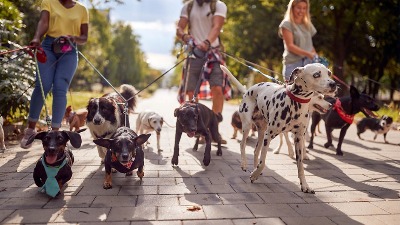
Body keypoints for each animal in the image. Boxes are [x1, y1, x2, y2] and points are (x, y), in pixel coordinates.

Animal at [220, 63, 336, 193]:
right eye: (316, 74)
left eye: (329, 73)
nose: (333, 84)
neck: (296, 103)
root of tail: (248, 90)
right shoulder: (269, 135)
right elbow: (263, 161)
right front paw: (254, 175)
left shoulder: (298, 138)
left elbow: (300, 165)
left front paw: (305, 185)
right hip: (248, 126)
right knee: (242, 144)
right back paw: (244, 164)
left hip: (262, 132)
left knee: (256, 151)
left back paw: (254, 168)